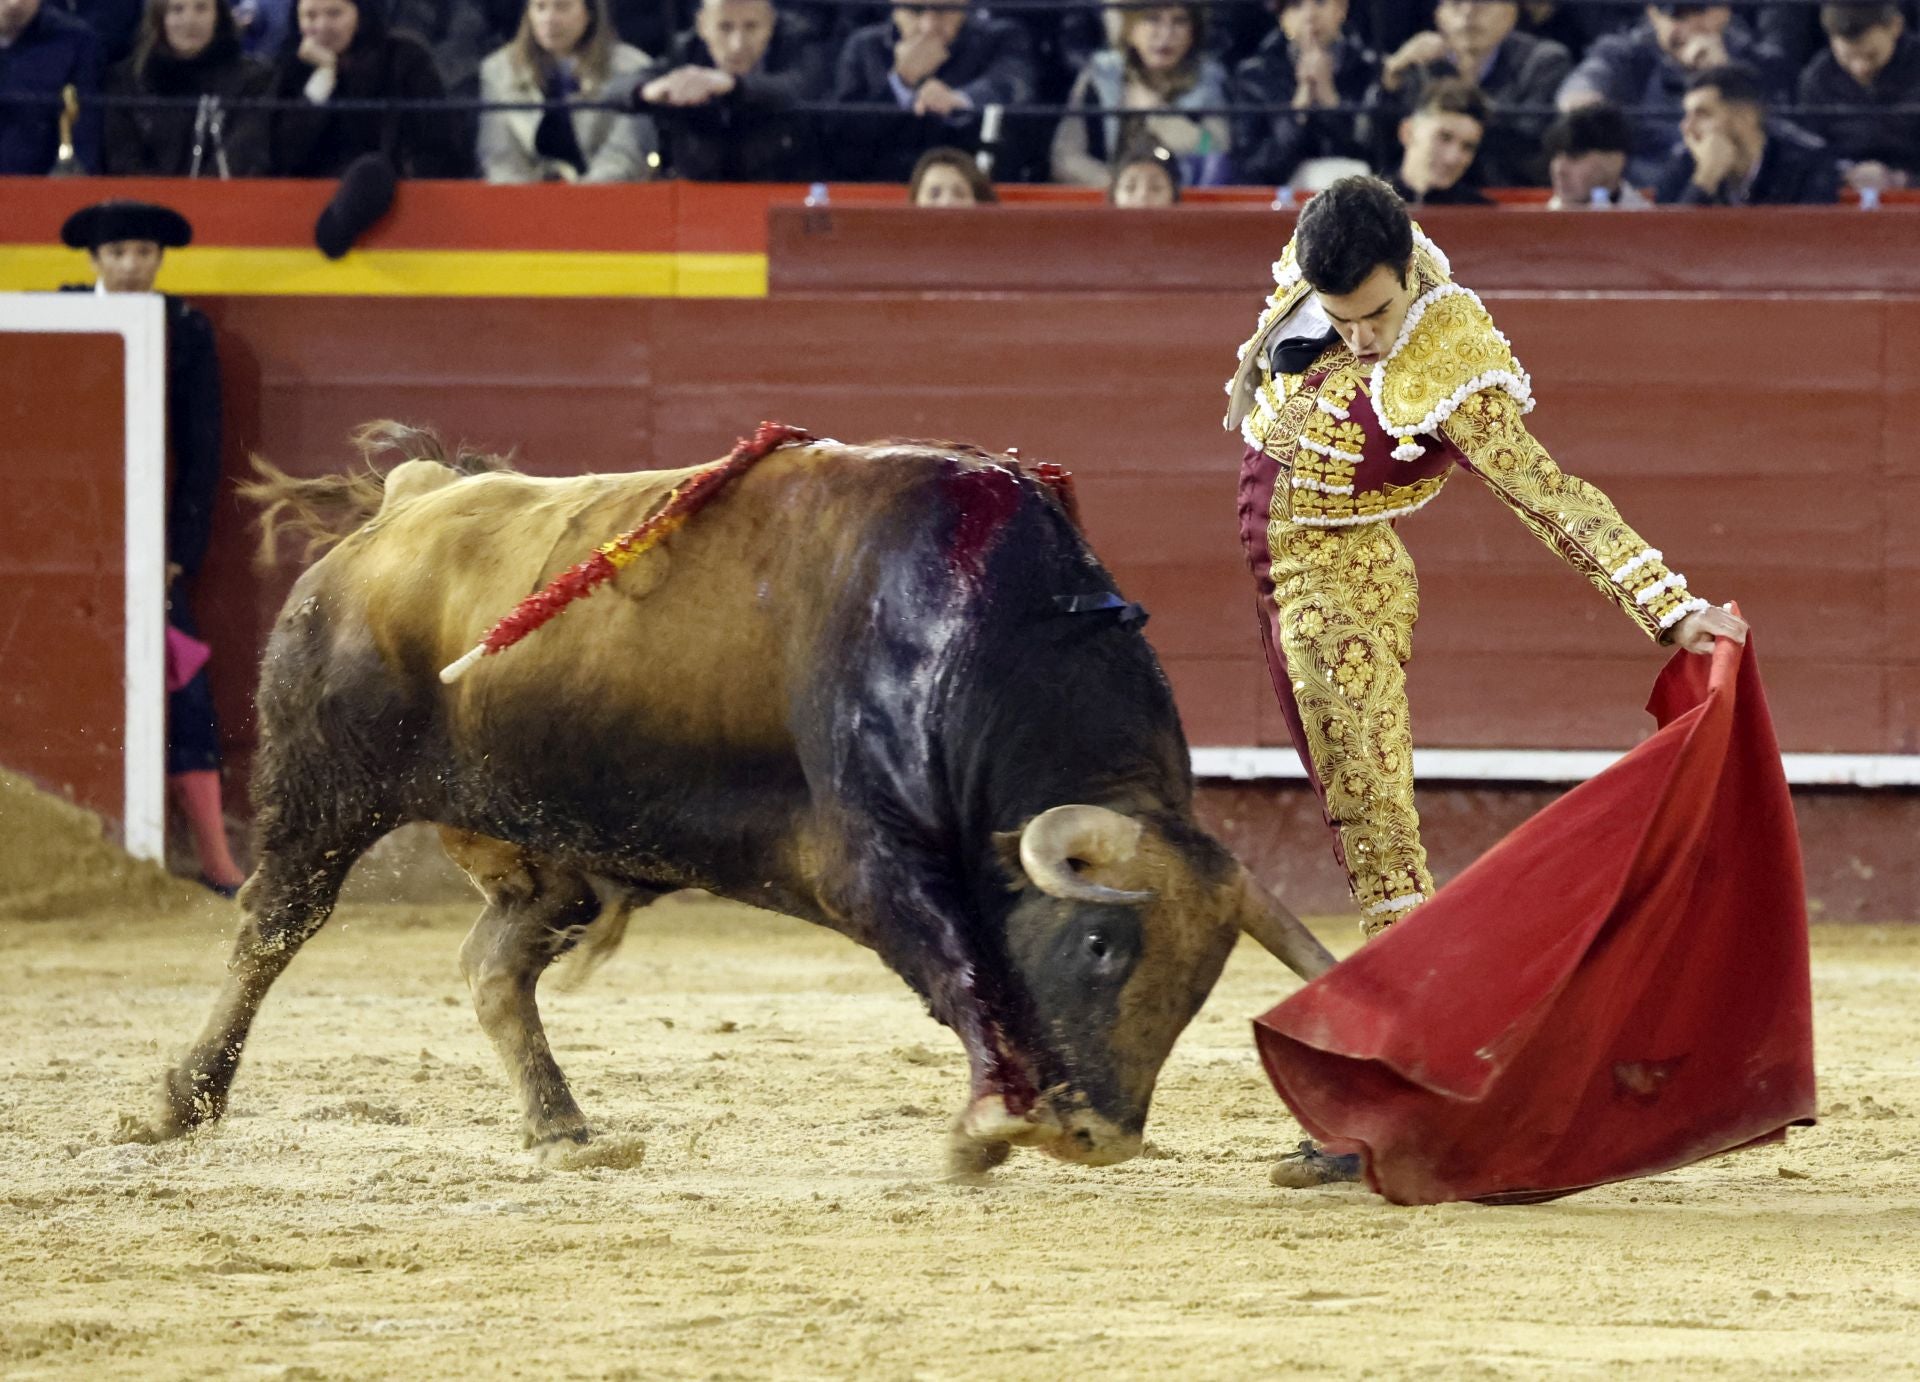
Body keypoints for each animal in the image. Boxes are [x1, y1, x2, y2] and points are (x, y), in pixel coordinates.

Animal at [123, 424, 1336, 1174]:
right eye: (1098, 947)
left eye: (1201, 987)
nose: (1102, 1135)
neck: (984, 633)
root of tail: (406, 506)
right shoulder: (871, 859)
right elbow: (965, 968)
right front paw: (991, 1118)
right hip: (322, 793)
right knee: (272, 929)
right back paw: (184, 1097)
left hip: (557, 846)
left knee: (494, 966)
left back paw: (565, 1131)